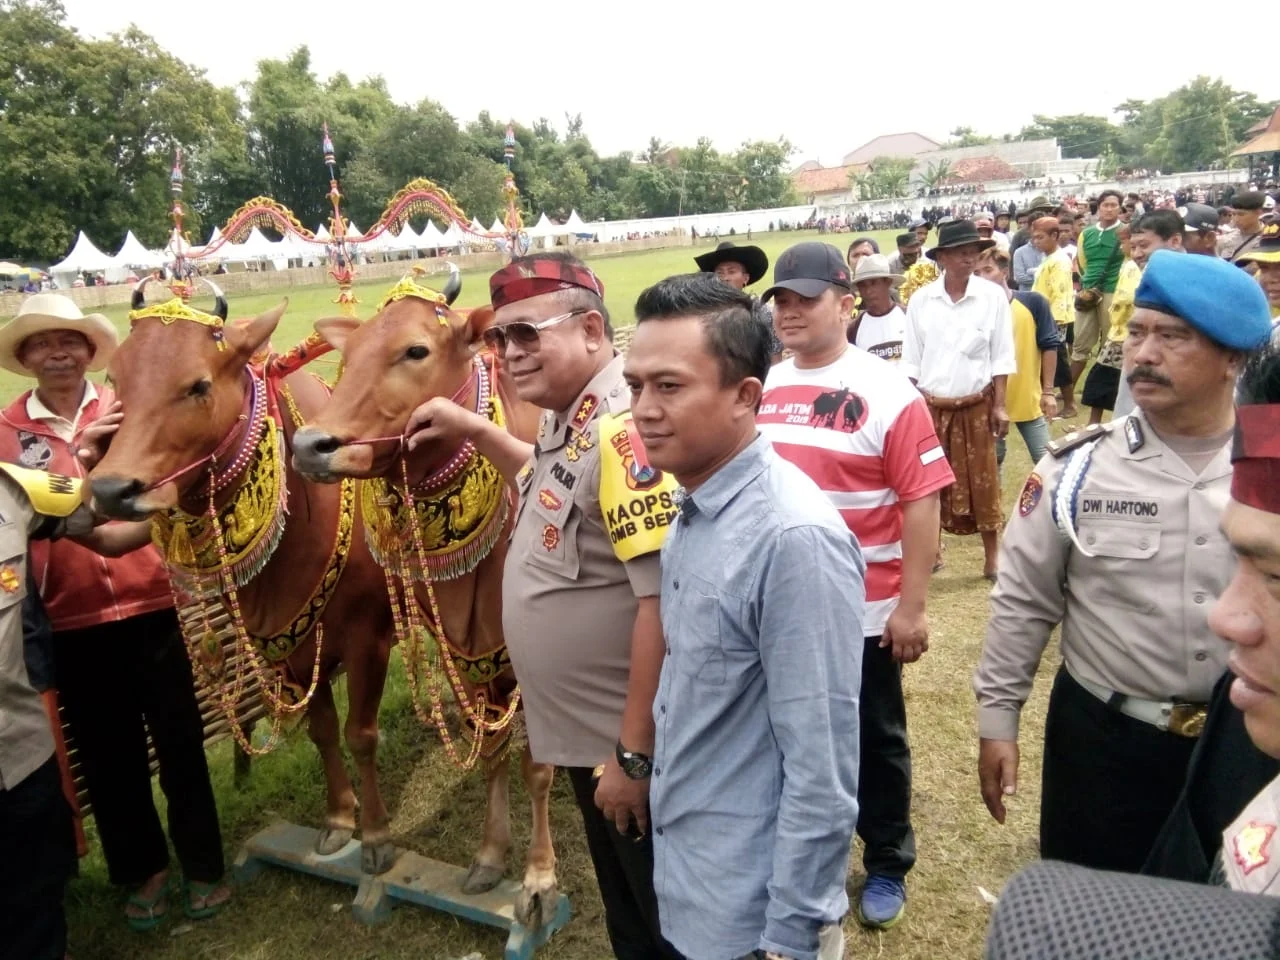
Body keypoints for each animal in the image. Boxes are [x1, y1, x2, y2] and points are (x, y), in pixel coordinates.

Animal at [88, 280, 399, 880]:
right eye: (115, 378)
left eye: (198, 385)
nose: (111, 489)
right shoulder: (283, 649)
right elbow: (323, 729)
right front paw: (338, 820)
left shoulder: (368, 638)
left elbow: (362, 734)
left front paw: (374, 835)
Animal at [293, 267, 558, 926]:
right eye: (348, 355)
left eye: (415, 350)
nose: (311, 446)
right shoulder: (462, 651)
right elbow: (491, 748)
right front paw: (490, 855)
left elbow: (536, 766)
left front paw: (539, 877)